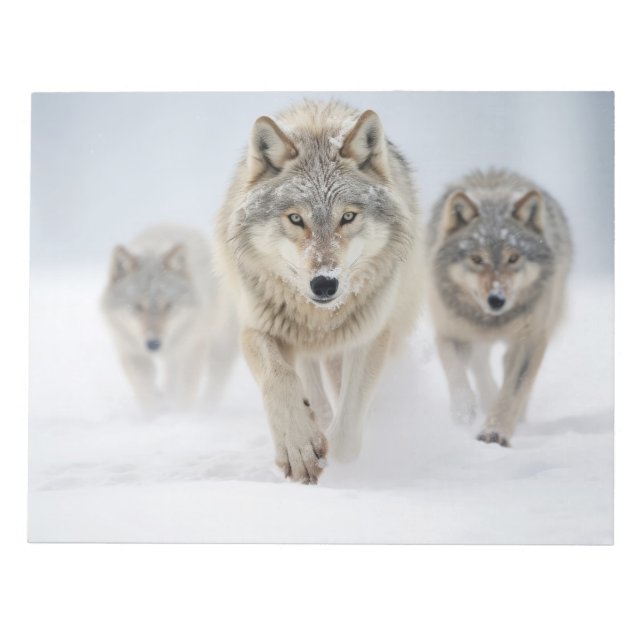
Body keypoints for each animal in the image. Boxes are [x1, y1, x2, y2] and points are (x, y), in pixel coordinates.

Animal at [102, 224, 237, 413]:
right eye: (137, 306)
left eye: (168, 306)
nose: (153, 344)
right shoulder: (131, 351)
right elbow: (145, 389)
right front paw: (154, 415)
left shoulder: (192, 347)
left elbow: (186, 390)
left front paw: (182, 416)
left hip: (220, 344)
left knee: (216, 379)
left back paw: (207, 408)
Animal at [215, 100, 424, 483]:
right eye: (296, 219)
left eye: (348, 217)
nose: (325, 283)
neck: (321, 318)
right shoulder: (258, 327)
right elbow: (280, 379)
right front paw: (299, 447)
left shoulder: (370, 336)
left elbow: (347, 433)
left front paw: (334, 454)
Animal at [426, 169, 572, 446]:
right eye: (477, 259)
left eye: (513, 258)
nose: (496, 300)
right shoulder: (449, 333)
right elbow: (456, 372)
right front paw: (464, 411)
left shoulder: (531, 340)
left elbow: (513, 392)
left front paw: (494, 432)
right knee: (479, 362)